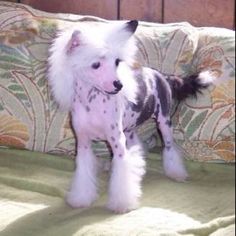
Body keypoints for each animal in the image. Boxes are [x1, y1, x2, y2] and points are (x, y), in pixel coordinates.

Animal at [47, 19, 214, 212]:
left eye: (116, 61)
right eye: (96, 64)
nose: (118, 85)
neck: (92, 102)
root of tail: (162, 76)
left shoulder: (116, 141)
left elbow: (122, 172)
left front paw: (122, 204)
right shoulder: (83, 143)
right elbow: (83, 172)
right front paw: (81, 199)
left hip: (164, 122)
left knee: (170, 148)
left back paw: (176, 173)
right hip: (129, 129)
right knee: (137, 146)